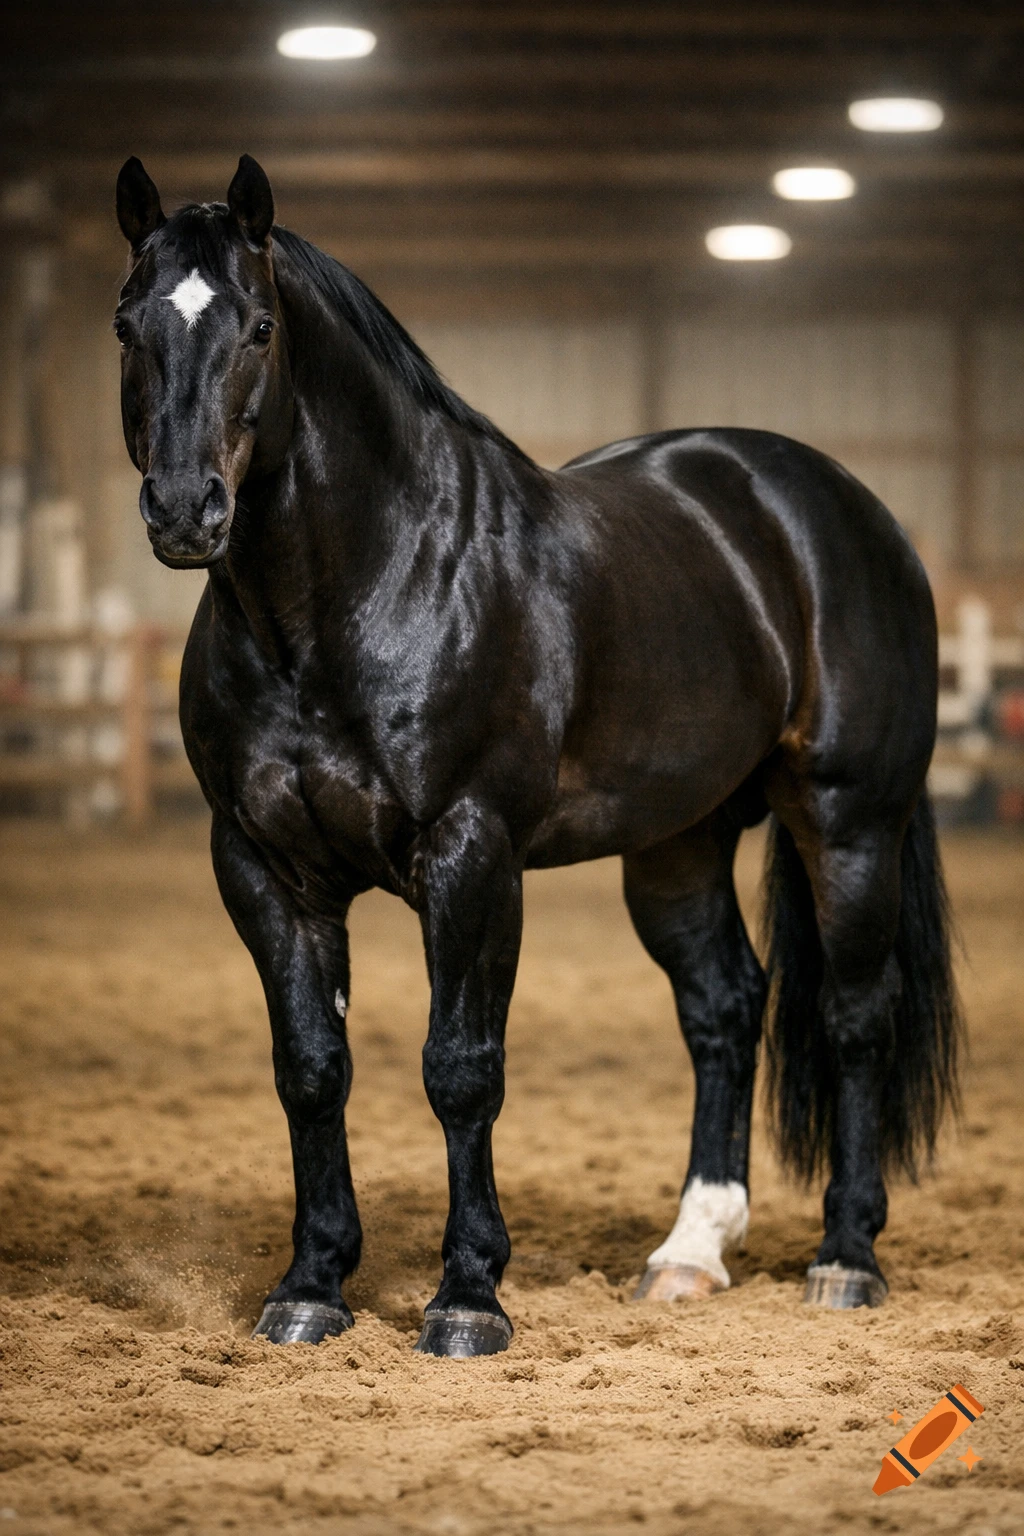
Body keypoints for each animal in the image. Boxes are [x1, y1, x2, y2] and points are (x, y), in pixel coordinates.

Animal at [113, 153, 961, 1358]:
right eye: (126, 322)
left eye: (260, 325)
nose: (187, 509)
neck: (351, 599)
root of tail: (852, 515)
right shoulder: (265, 870)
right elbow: (311, 1069)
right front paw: (310, 1286)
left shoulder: (473, 857)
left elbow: (461, 1069)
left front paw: (468, 1298)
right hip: (676, 844)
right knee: (724, 1006)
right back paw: (689, 1253)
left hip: (847, 824)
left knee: (853, 1017)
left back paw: (845, 1258)